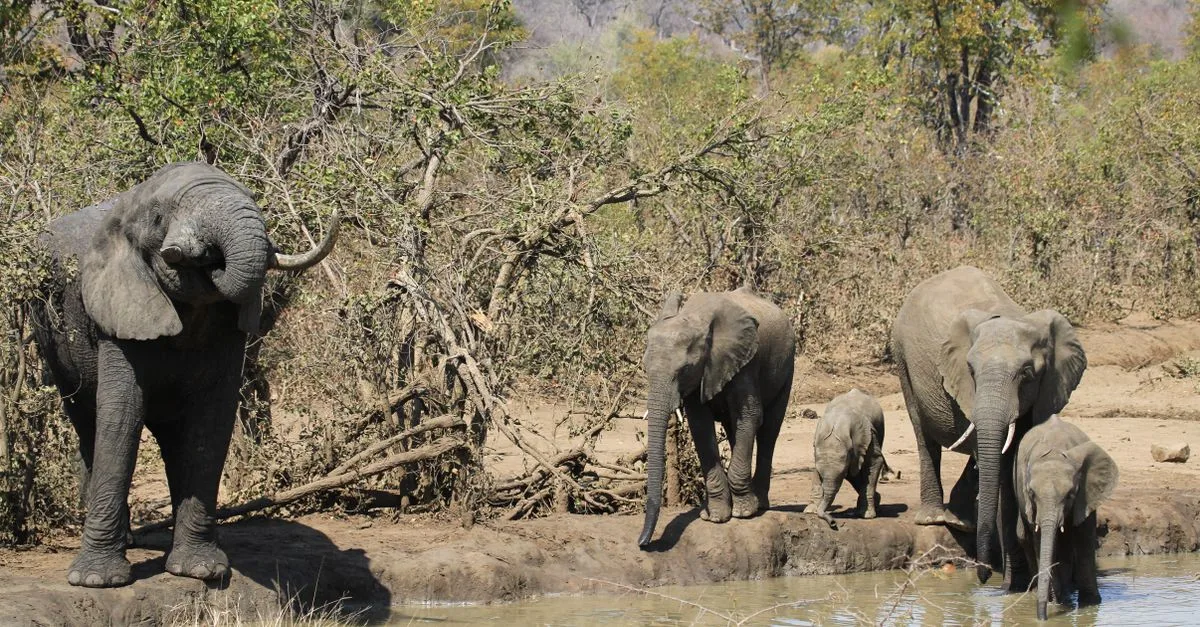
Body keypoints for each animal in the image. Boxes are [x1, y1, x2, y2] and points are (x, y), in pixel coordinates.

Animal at [28, 162, 338, 588]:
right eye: (159, 218)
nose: (206, 255)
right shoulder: (117, 313)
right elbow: (121, 417)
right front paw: (96, 581)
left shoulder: (227, 328)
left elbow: (210, 423)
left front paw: (201, 571)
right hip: (50, 338)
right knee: (87, 421)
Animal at [637, 287, 795, 547]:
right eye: (645, 368)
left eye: (684, 369)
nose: (643, 543)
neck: (695, 318)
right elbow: (701, 426)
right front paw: (714, 517)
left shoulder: (745, 363)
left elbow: (750, 416)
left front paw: (743, 513)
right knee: (734, 430)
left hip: (787, 365)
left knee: (769, 430)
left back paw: (759, 505)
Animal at [809, 388, 885, 529]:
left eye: (840, 477)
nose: (833, 523)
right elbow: (815, 469)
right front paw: (810, 510)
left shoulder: (867, 435)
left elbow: (875, 461)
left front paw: (867, 515)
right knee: (853, 473)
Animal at [890, 266, 1086, 586]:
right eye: (971, 371)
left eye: (1027, 373)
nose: (982, 575)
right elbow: (998, 466)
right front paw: (1011, 578)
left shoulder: (1043, 390)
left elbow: (1013, 457)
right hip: (901, 357)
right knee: (923, 435)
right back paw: (935, 519)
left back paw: (961, 522)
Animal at [1015, 415, 1117, 621]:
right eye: (1031, 493)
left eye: (1070, 495)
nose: (1042, 618)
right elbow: (1041, 541)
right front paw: (1057, 602)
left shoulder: (1085, 495)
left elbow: (1084, 540)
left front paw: (1090, 604)